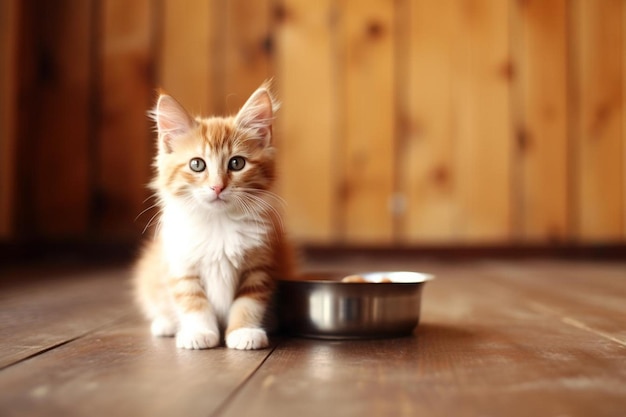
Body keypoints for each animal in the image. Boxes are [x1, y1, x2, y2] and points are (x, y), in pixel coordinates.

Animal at [133, 81, 294, 348]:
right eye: (197, 164)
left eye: (237, 163)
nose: (217, 187)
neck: (219, 223)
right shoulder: (181, 265)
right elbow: (193, 301)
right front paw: (199, 332)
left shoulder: (259, 265)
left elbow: (248, 302)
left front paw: (243, 331)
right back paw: (165, 324)